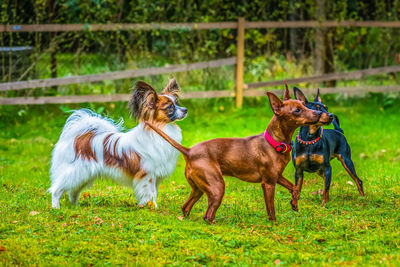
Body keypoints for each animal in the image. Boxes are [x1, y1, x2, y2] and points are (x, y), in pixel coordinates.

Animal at [49, 79, 188, 209]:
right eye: (169, 107)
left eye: (177, 104)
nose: (185, 110)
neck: (160, 129)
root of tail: (78, 136)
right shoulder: (147, 175)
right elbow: (149, 193)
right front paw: (151, 207)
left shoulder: (156, 176)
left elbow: (154, 193)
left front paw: (152, 206)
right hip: (76, 172)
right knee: (56, 189)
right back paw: (55, 207)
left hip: (85, 176)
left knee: (73, 192)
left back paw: (75, 206)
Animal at [145, 86, 320, 224]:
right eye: (297, 110)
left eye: (304, 105)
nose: (319, 112)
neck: (274, 143)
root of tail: (189, 151)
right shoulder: (268, 183)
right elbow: (271, 209)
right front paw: (274, 223)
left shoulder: (277, 176)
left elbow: (295, 187)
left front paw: (294, 203)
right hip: (217, 187)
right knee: (207, 216)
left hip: (199, 189)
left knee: (186, 207)